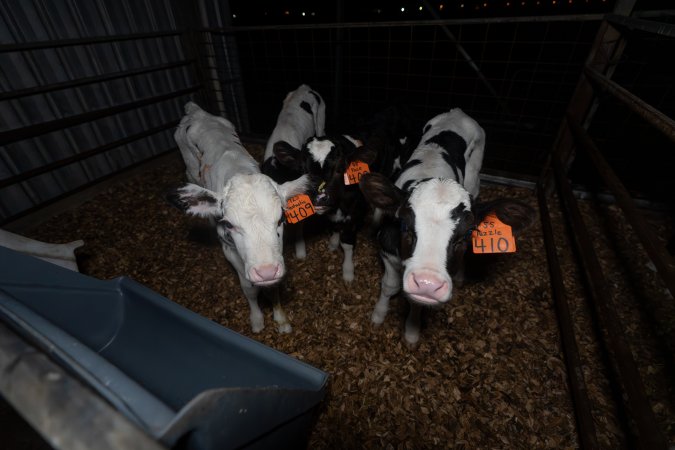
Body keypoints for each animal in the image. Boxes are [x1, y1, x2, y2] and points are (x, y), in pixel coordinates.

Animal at [168, 102, 312, 334]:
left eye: (281, 219)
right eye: (229, 224)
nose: (265, 272)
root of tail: (195, 110)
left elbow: (273, 288)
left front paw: (281, 319)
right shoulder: (230, 250)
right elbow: (248, 288)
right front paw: (257, 319)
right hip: (189, 171)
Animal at [272, 106, 417, 283]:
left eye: (340, 169)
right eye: (302, 170)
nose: (319, 199)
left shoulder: (355, 211)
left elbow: (347, 243)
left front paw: (348, 272)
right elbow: (334, 225)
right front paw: (333, 243)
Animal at [359, 108, 535, 348]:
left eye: (468, 233)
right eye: (405, 224)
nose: (427, 283)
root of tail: (458, 112)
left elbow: (416, 302)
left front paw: (412, 332)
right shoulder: (387, 250)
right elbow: (389, 285)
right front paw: (378, 315)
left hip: (474, 181)